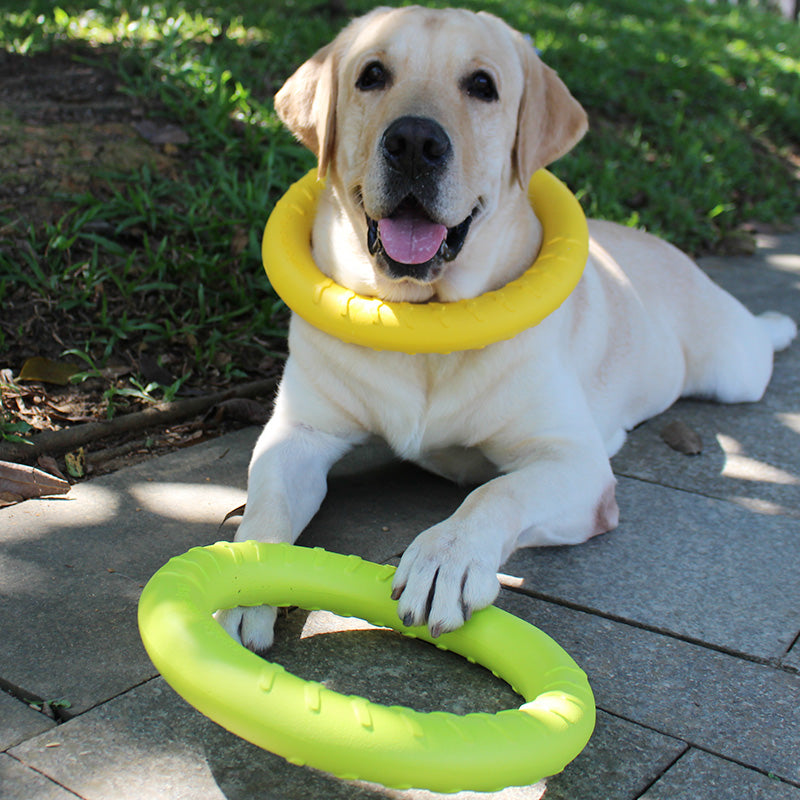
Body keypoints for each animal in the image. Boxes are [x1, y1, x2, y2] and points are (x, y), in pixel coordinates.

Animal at [216, 6, 796, 648]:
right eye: (372, 75)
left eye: (482, 86)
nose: (413, 143)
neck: (428, 319)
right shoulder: (301, 432)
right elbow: (267, 504)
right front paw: (250, 576)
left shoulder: (572, 464)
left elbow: (497, 490)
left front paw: (446, 556)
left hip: (732, 369)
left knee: (755, 349)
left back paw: (778, 321)